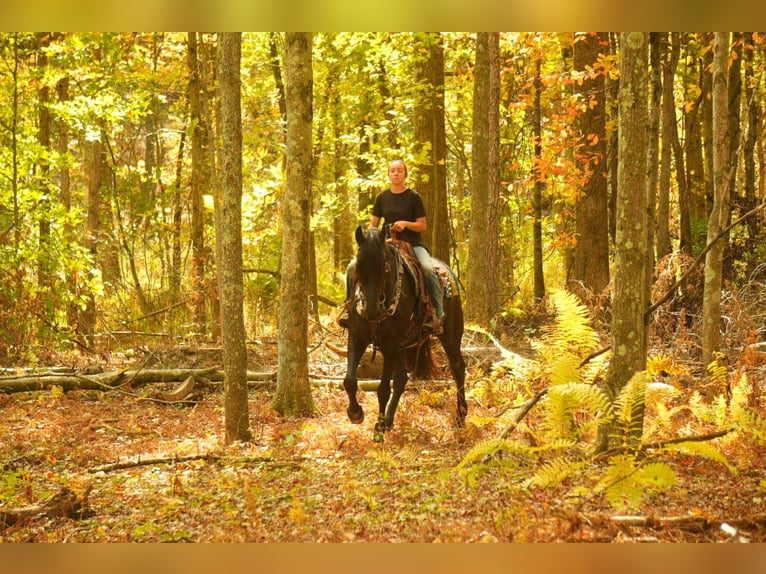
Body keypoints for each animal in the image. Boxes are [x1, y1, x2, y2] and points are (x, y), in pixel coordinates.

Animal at [342, 225, 467, 441]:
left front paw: (378, 430)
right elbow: (349, 380)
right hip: (403, 345)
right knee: (402, 379)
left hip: (450, 335)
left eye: (384, 267)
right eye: (359, 268)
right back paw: (389, 420)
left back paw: (460, 417)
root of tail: (449, 271)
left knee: (458, 367)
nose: (372, 311)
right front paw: (356, 413)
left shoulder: (390, 344)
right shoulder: (357, 338)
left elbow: (383, 388)